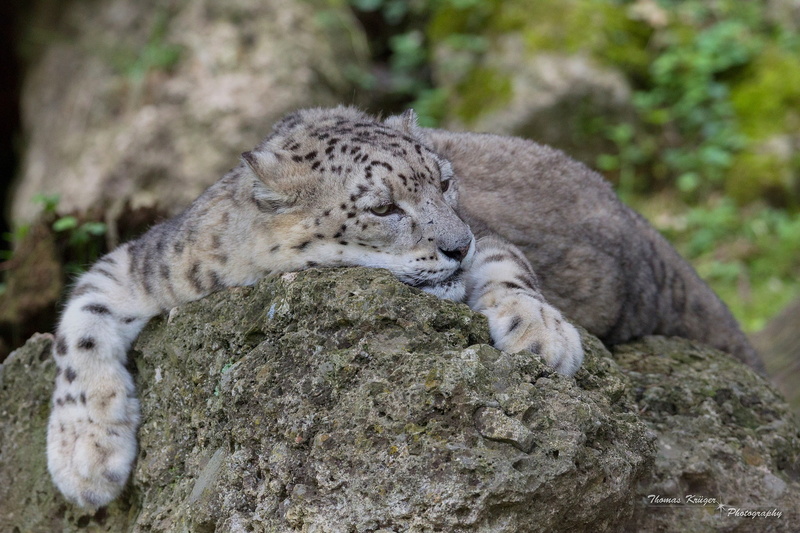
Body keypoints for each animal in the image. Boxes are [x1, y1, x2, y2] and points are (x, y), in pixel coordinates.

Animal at [46, 106, 762, 509]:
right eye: (383, 206)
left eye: (445, 181)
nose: (456, 244)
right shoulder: (151, 262)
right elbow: (78, 326)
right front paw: (86, 459)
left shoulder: (493, 239)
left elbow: (509, 269)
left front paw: (542, 334)